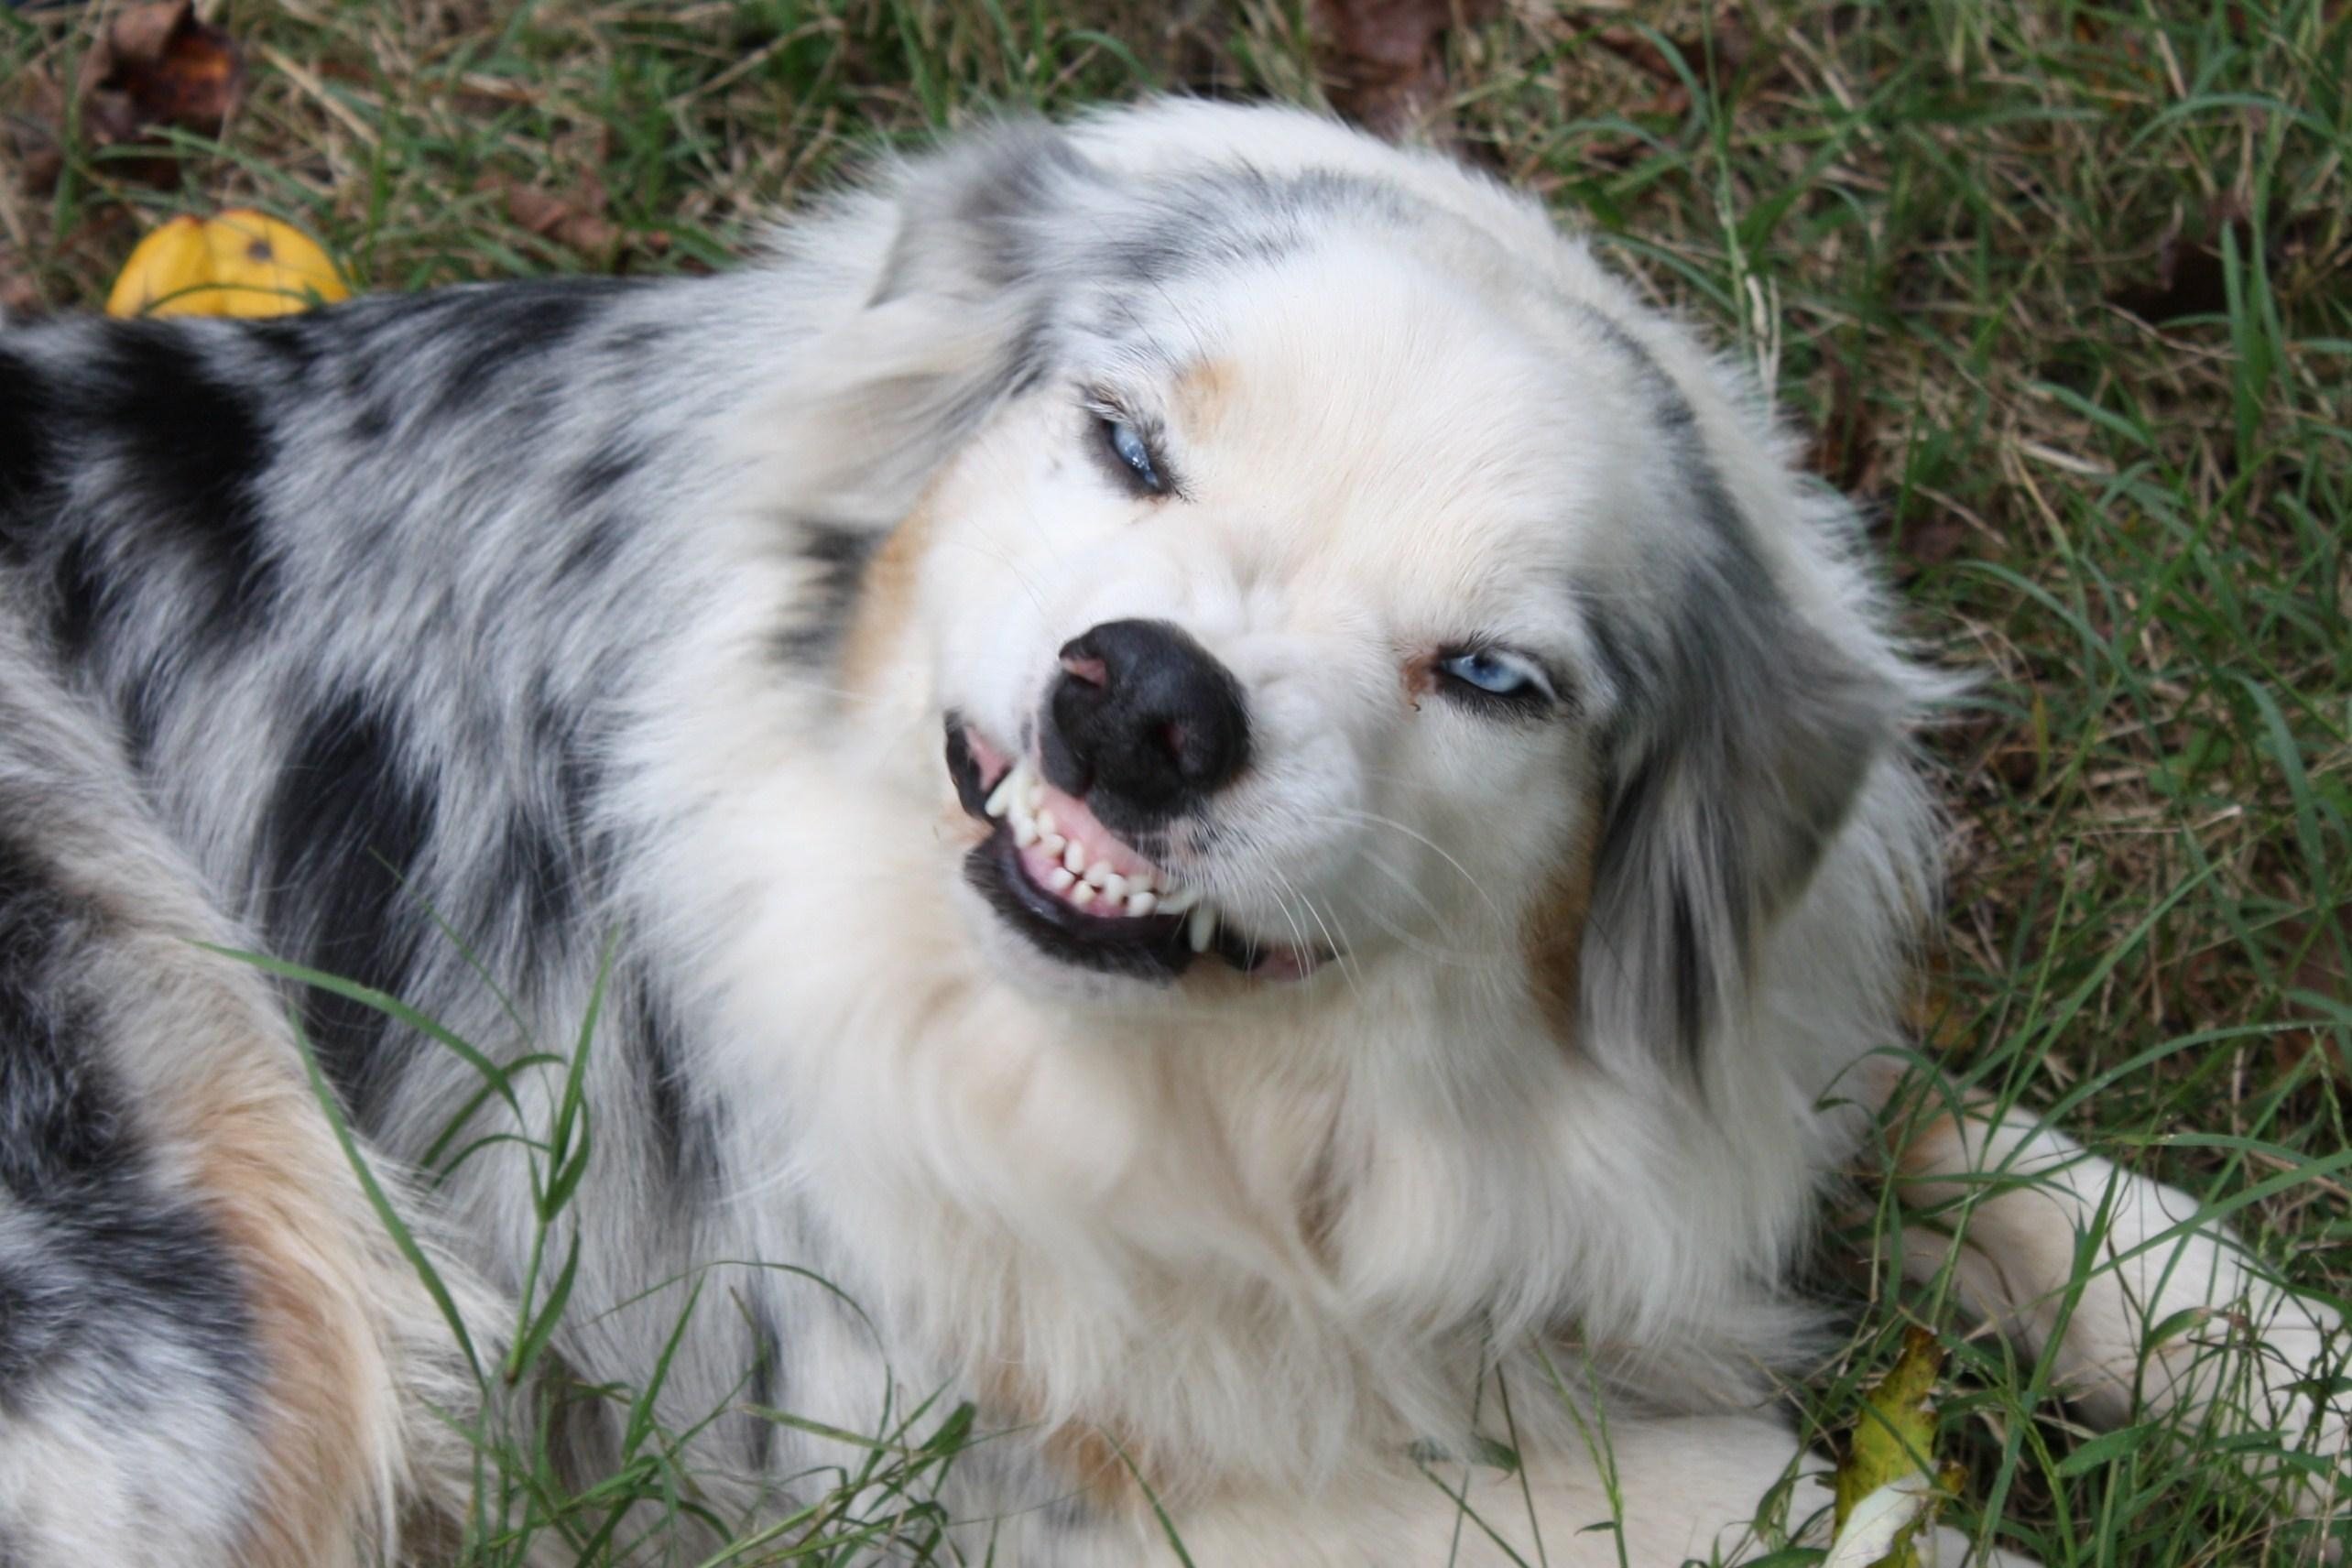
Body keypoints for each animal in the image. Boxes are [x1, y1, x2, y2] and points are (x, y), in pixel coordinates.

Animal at [0, 101, 2342, 1568]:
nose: (1141, 702)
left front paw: (2283, 1389)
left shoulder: (1726, 1089)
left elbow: (2017, 1181)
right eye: (1127, 444)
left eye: (1492, 674)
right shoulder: (898, 1455)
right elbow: (1730, 1494)